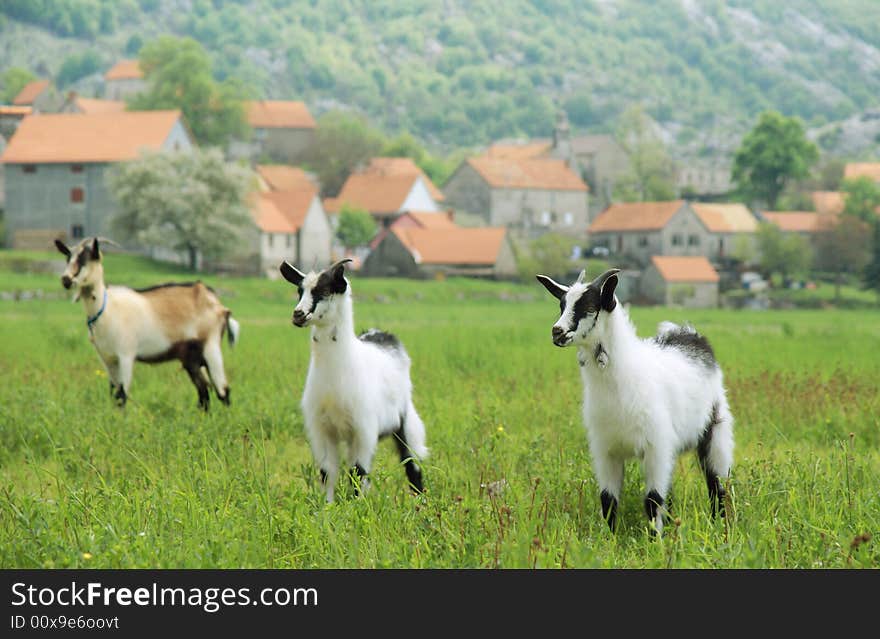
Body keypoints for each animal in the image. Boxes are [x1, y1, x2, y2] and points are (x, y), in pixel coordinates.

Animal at [56, 238, 239, 412]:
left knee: (223, 390)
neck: (106, 308)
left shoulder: (126, 354)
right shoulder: (107, 358)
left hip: (211, 347)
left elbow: (122, 394)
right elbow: (114, 393)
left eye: (86, 258)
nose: (66, 279)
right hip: (191, 358)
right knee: (203, 390)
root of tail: (218, 304)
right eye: (68, 257)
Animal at [276, 258, 424, 502]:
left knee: (411, 462)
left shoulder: (364, 428)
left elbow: (358, 471)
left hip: (402, 419)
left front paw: (356, 506)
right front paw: (327, 506)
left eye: (325, 290)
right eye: (299, 290)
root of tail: (382, 335)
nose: (298, 314)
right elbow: (327, 472)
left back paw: (420, 500)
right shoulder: (322, 429)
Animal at [536, 268, 736, 536]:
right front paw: (608, 540)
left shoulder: (655, 446)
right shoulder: (606, 450)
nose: (557, 331)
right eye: (562, 304)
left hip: (715, 430)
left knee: (717, 485)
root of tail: (688, 333)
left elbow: (652, 498)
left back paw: (720, 527)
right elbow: (608, 499)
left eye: (589, 306)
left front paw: (655, 541)